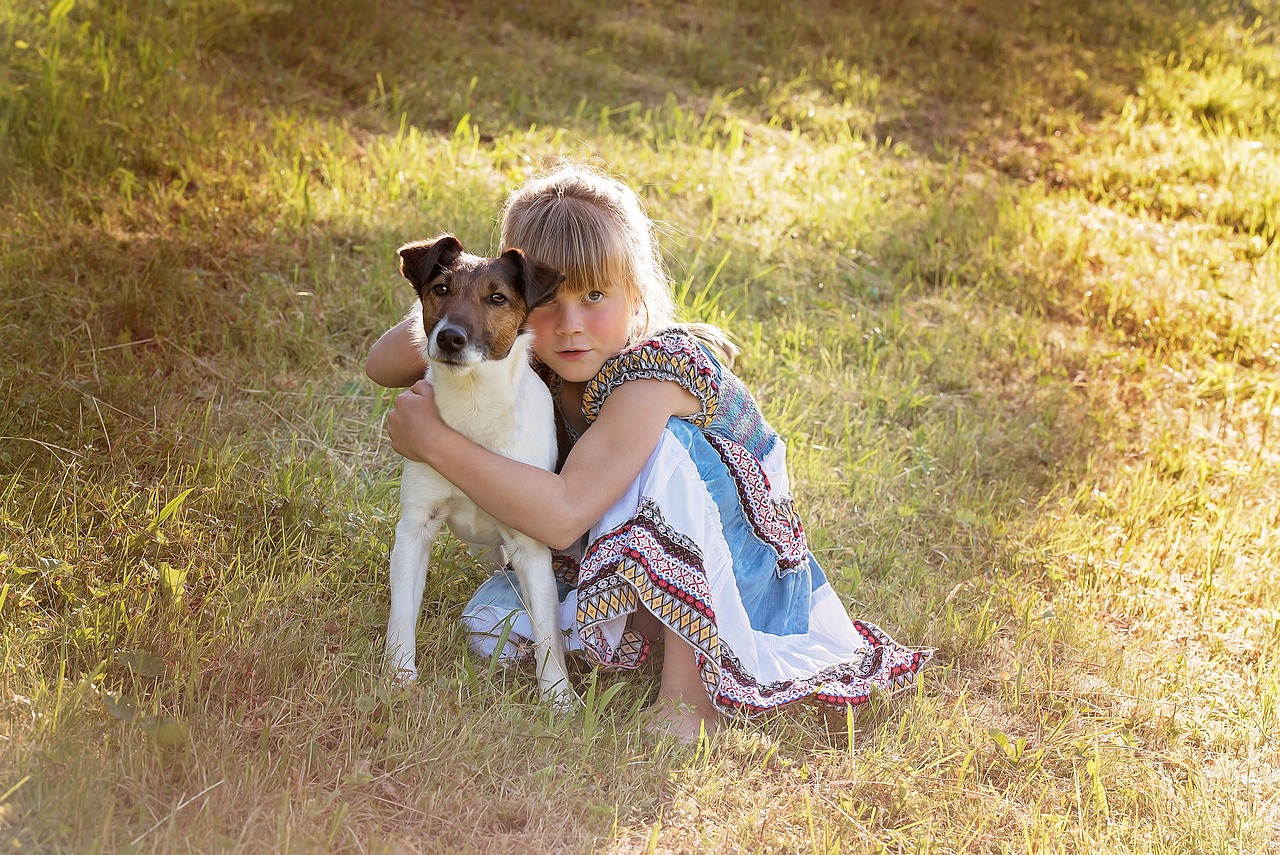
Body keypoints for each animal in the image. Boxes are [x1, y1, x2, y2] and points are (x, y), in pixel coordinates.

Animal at [381, 234, 573, 706]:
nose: (450, 337)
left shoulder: (531, 544)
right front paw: (399, 676)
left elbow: (546, 632)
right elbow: (402, 611)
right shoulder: (415, 527)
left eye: (497, 298)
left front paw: (557, 698)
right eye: (441, 289)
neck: (473, 409)